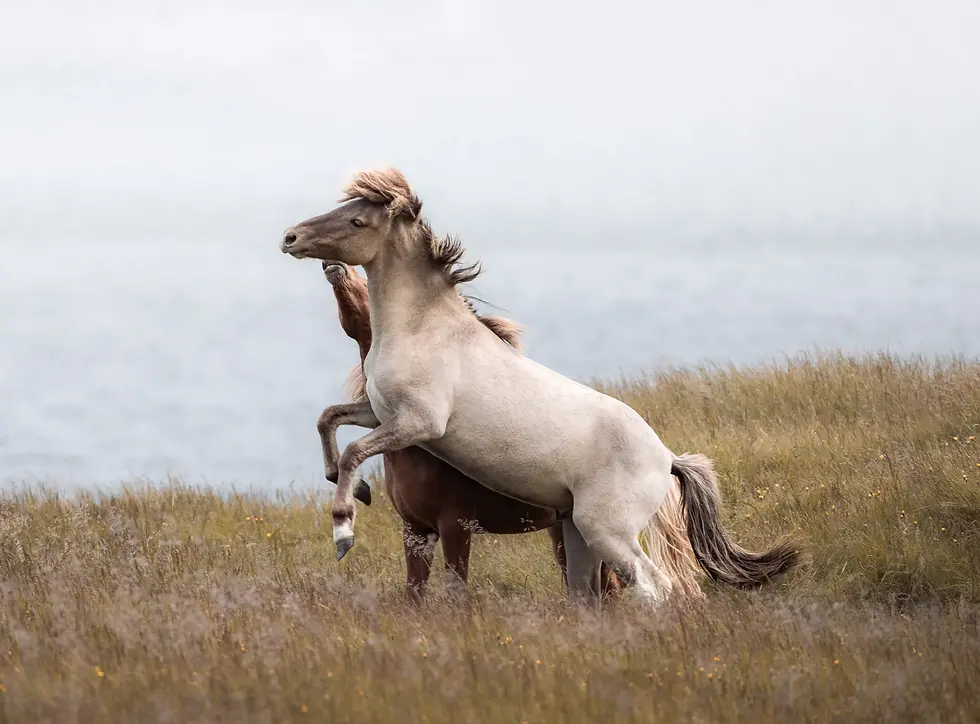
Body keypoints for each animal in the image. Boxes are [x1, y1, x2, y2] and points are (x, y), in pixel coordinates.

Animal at [321, 260, 703, 602]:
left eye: (370, 284)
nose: (333, 266)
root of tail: (668, 458)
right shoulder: (415, 529)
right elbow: (413, 596)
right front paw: (355, 490)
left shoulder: (455, 526)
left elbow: (456, 593)